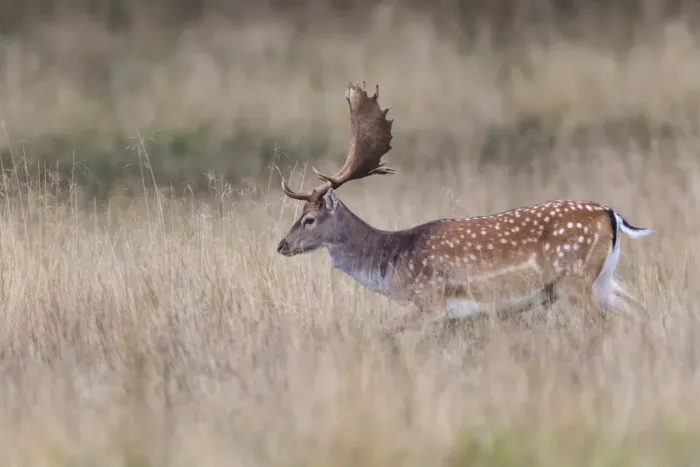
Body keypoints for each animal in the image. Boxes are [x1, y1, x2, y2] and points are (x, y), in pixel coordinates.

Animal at [276, 81, 654, 337]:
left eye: (309, 219)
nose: (281, 245)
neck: (392, 263)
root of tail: (612, 215)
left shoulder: (430, 301)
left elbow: (385, 334)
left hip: (573, 279)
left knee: (602, 323)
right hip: (603, 279)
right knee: (642, 311)